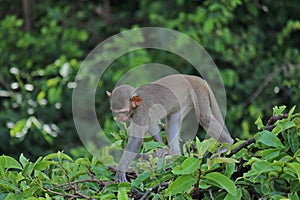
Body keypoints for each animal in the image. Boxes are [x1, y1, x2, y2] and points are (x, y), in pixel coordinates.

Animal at [106, 74, 234, 182]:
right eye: (115, 112)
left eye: (123, 112)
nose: (119, 118)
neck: (135, 106)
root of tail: (196, 78)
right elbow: (151, 124)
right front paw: (161, 148)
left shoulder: (140, 112)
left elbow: (136, 140)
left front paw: (120, 170)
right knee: (173, 119)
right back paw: (175, 154)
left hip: (198, 91)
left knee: (205, 118)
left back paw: (228, 143)